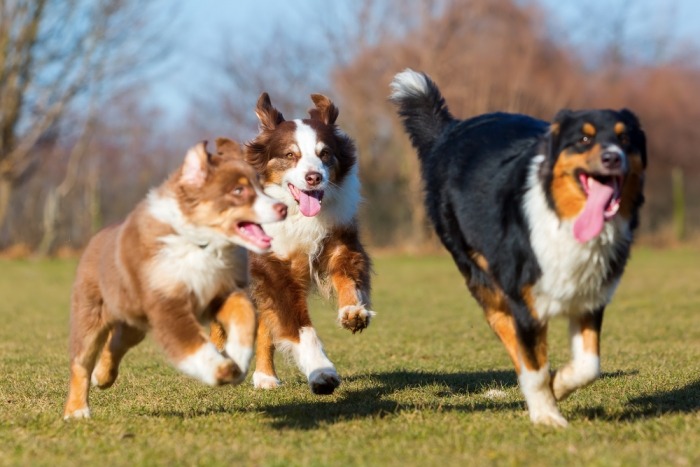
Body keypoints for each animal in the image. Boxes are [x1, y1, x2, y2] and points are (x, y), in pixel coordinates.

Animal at [63, 140, 286, 420]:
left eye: (260, 186)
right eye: (238, 190)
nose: (283, 208)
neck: (202, 245)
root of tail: (95, 239)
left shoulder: (220, 292)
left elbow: (244, 314)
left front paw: (238, 355)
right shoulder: (166, 303)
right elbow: (190, 344)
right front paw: (221, 369)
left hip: (134, 322)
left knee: (117, 341)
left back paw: (101, 377)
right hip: (90, 312)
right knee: (81, 361)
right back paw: (76, 411)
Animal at [213, 92, 374, 394]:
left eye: (325, 153)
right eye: (290, 155)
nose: (314, 177)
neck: (297, 214)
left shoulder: (337, 240)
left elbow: (346, 275)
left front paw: (353, 311)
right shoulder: (272, 267)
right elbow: (300, 327)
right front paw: (322, 372)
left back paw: (265, 377)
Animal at [388, 70, 644, 428]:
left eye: (625, 139)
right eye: (583, 139)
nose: (612, 157)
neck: (563, 220)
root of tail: (451, 128)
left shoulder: (590, 295)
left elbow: (588, 366)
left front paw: (558, 386)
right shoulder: (525, 301)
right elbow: (535, 367)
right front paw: (547, 416)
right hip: (481, 276)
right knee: (505, 330)